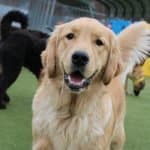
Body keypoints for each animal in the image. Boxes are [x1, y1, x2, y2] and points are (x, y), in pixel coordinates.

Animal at [32, 18, 150, 149]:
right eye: (70, 36)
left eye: (99, 42)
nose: (80, 57)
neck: (71, 114)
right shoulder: (41, 142)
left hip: (118, 138)